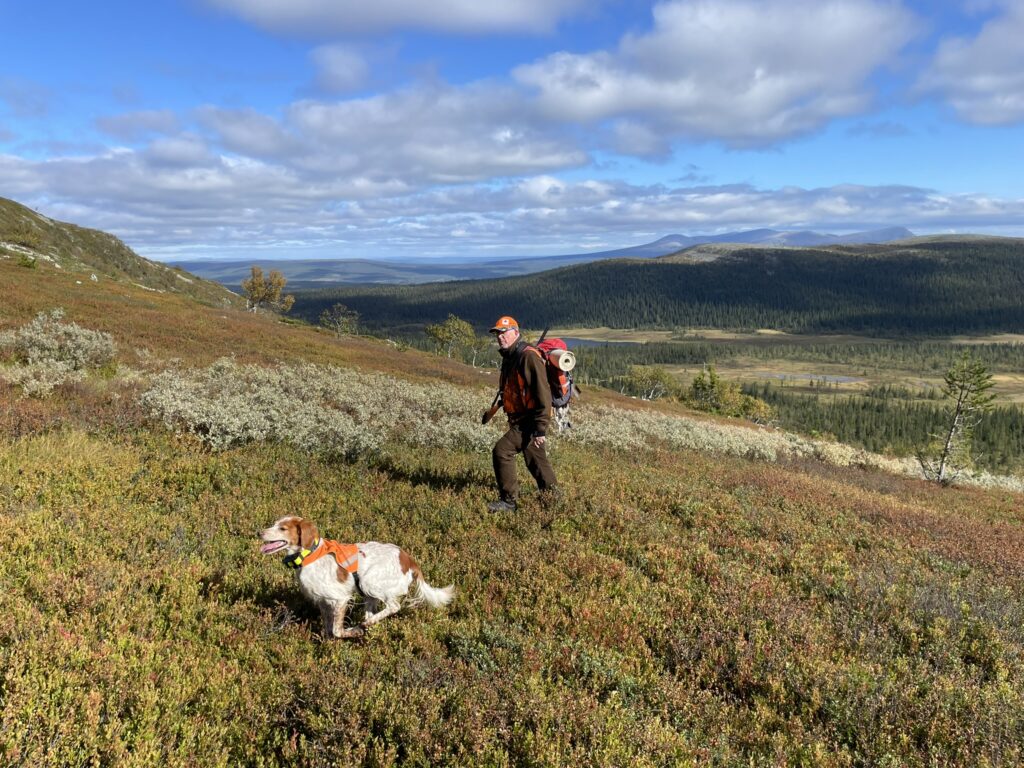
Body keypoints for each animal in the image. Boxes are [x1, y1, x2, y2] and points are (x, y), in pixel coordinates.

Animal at [260, 518, 456, 643]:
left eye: (282, 528)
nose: (259, 532)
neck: (310, 555)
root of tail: (409, 560)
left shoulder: (340, 598)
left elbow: (337, 630)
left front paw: (352, 632)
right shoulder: (323, 602)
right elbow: (328, 629)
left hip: (368, 582)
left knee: (394, 606)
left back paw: (364, 625)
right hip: (368, 593)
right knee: (374, 613)